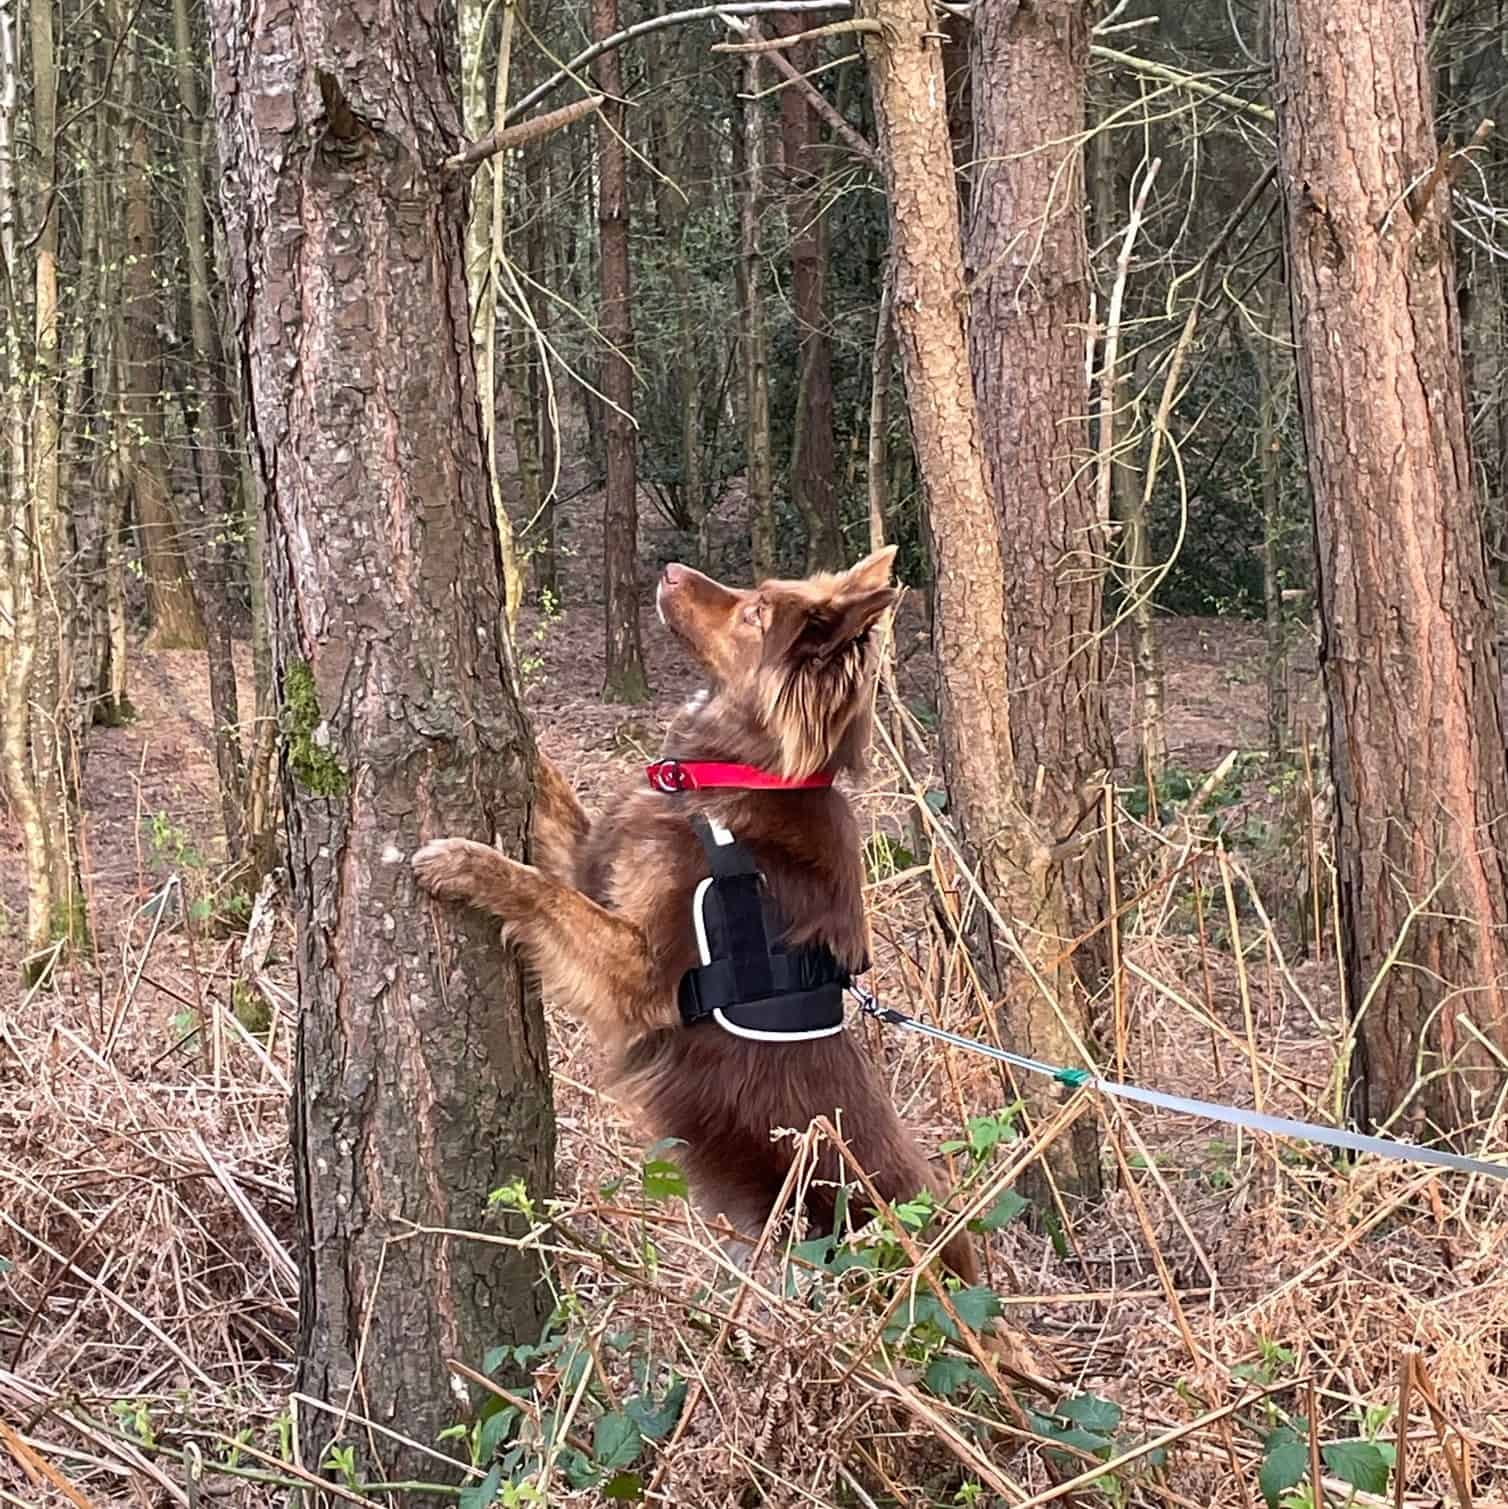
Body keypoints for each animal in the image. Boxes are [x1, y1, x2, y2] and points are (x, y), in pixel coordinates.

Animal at [413, 549, 978, 1279]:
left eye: (755, 612)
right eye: (755, 593)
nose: (672, 568)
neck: (738, 776)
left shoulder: (642, 975)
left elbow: (541, 891)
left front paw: (465, 863)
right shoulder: (597, 868)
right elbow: (555, 800)